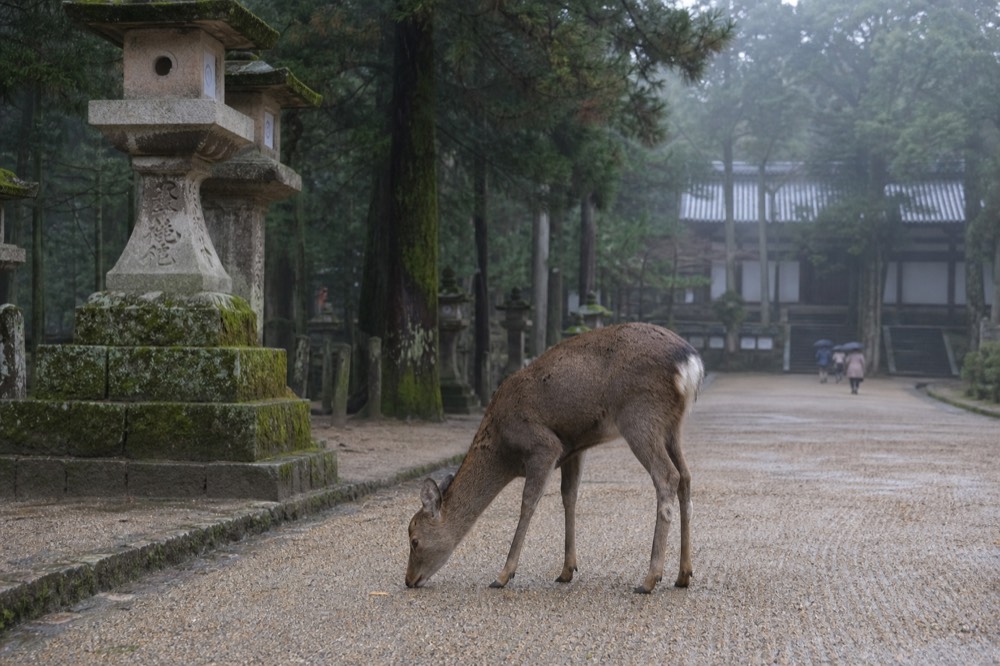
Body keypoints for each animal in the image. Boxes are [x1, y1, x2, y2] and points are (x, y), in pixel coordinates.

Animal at [405, 322, 704, 594]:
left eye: (414, 539)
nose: (409, 580)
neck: (503, 449)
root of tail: (691, 364)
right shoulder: (573, 449)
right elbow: (569, 496)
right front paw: (566, 570)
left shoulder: (543, 445)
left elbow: (528, 503)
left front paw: (503, 575)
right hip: (672, 425)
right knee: (686, 477)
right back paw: (683, 575)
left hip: (640, 415)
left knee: (667, 475)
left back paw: (650, 579)